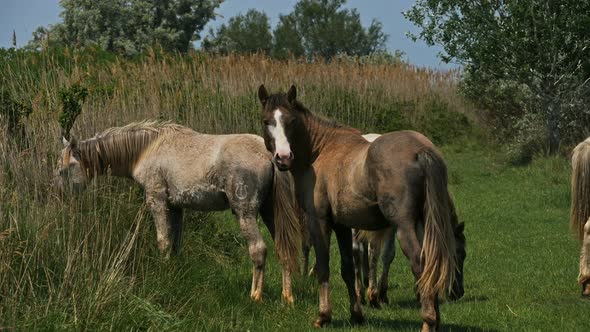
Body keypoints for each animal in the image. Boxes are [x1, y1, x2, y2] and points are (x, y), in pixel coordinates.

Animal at [53, 121, 302, 304]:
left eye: (63, 170)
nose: (59, 197)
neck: (148, 148)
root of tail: (271, 155)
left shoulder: (157, 201)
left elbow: (163, 241)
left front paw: (164, 274)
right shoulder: (176, 207)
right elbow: (175, 243)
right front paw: (173, 272)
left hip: (246, 213)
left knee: (258, 250)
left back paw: (255, 296)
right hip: (271, 213)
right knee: (284, 248)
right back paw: (287, 297)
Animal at [260, 84, 468, 330]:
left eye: (291, 121)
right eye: (266, 121)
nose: (283, 158)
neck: (320, 150)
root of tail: (420, 150)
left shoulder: (318, 221)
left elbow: (323, 267)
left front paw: (323, 315)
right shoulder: (341, 225)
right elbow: (348, 269)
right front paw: (356, 314)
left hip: (404, 226)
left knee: (420, 263)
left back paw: (427, 321)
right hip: (423, 223)